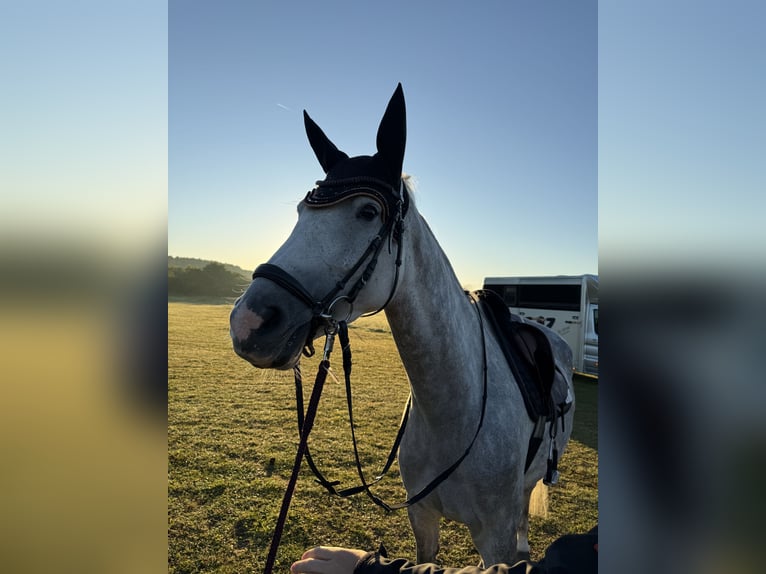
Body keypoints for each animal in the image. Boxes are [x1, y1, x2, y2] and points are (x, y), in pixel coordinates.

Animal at [229, 84, 575, 566]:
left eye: (367, 213)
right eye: (300, 212)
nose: (249, 322)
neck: (456, 408)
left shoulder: (495, 537)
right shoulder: (422, 518)